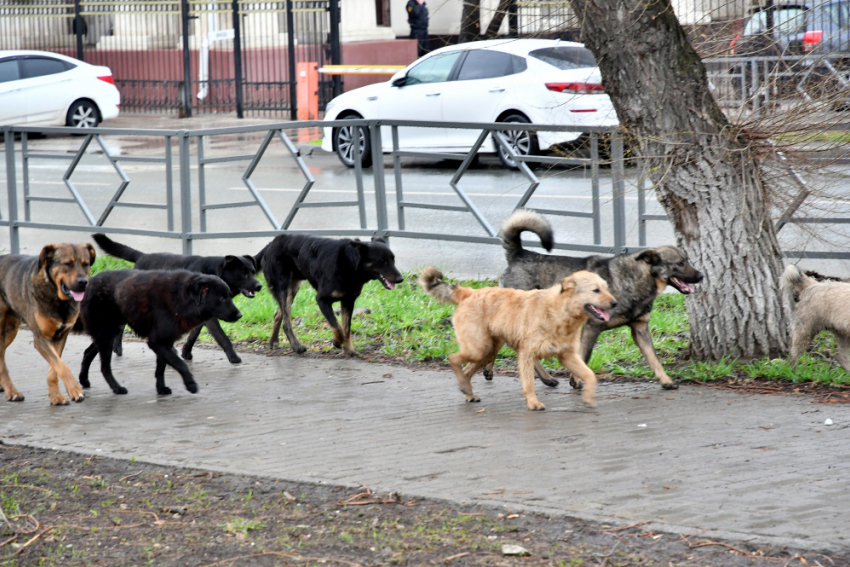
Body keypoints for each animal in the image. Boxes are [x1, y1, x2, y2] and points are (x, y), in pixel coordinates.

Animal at [0, 243, 94, 404]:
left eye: (86, 264)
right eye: (68, 264)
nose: (83, 282)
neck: (57, 296)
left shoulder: (59, 337)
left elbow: (54, 369)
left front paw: (56, 396)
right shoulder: (41, 338)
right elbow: (62, 367)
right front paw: (75, 389)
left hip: (10, 329)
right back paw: (12, 392)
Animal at [78, 270, 242, 394]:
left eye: (229, 296)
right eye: (222, 298)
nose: (240, 315)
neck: (182, 297)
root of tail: (89, 283)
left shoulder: (165, 343)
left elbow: (161, 369)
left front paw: (161, 389)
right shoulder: (157, 342)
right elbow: (181, 364)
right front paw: (190, 384)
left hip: (107, 334)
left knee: (87, 353)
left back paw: (84, 380)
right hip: (106, 335)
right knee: (105, 367)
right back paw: (117, 388)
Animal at [91, 234, 260, 364]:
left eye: (253, 271)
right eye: (244, 274)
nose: (259, 286)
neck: (215, 271)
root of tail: (142, 256)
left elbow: (194, 333)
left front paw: (186, 351)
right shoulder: (210, 316)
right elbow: (222, 336)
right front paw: (233, 356)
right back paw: (117, 347)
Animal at [255, 235, 404, 356]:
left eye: (393, 259)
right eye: (383, 260)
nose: (400, 279)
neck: (349, 264)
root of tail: (272, 242)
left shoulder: (348, 301)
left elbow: (346, 328)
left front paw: (349, 350)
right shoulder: (322, 300)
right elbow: (337, 326)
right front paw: (337, 342)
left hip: (292, 290)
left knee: (278, 315)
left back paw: (273, 341)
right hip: (284, 287)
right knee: (286, 322)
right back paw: (296, 346)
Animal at [420, 268, 612, 410]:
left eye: (606, 288)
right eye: (596, 290)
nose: (615, 303)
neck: (558, 310)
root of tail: (469, 292)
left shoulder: (568, 356)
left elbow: (590, 375)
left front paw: (589, 397)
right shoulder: (527, 354)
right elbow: (529, 383)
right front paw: (533, 403)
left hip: (488, 351)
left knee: (466, 371)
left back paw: (467, 391)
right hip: (479, 349)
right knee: (453, 359)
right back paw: (466, 387)